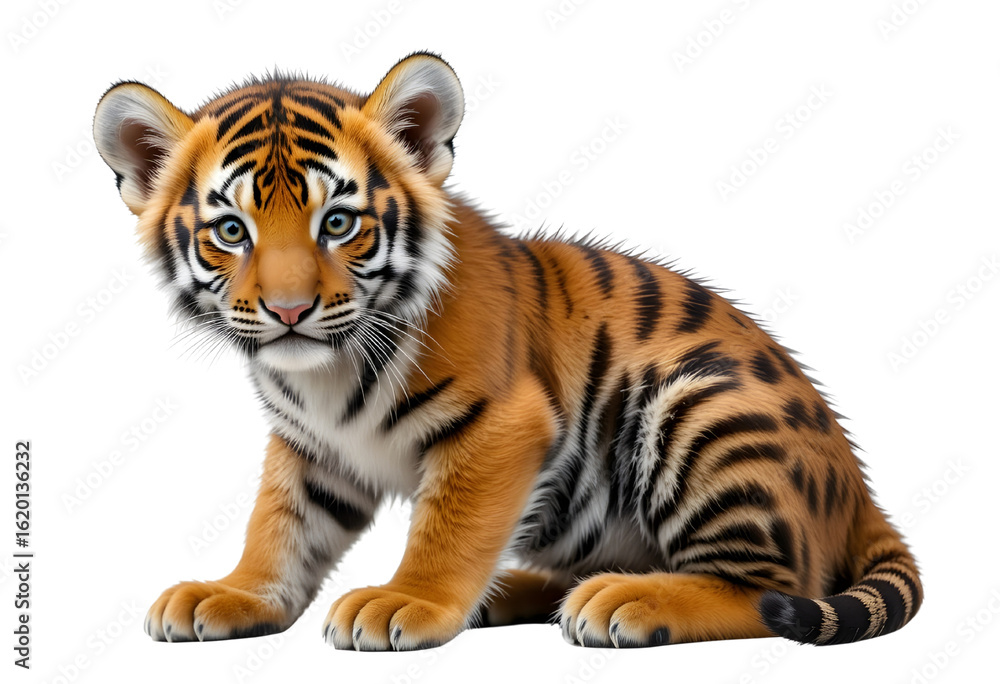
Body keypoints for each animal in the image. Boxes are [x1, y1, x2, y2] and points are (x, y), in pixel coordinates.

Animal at [93, 52, 922, 650]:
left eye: (338, 223)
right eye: (232, 231)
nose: (289, 311)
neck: (324, 374)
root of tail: (860, 489)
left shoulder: (499, 425)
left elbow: (449, 528)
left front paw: (405, 602)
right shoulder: (310, 447)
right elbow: (280, 525)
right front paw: (233, 592)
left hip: (697, 409)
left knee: (777, 586)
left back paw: (623, 600)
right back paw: (520, 593)